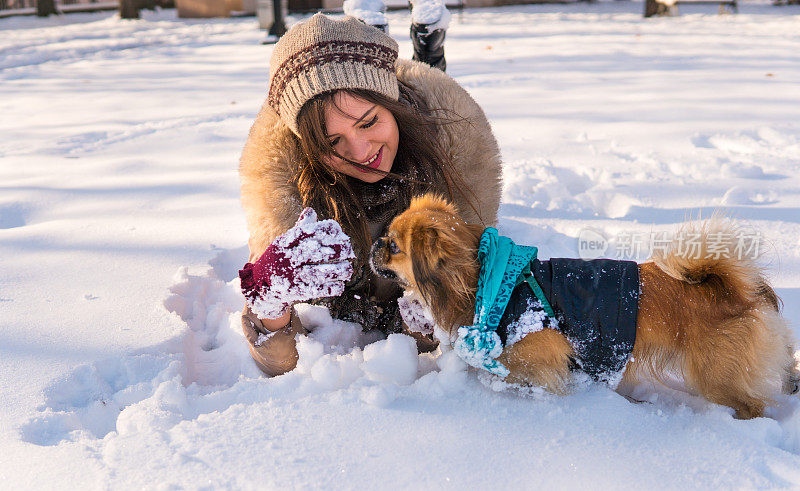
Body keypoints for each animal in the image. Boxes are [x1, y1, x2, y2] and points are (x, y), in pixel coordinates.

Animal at [372, 194, 796, 420]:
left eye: (394, 246)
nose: (375, 244)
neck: (484, 280)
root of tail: (737, 290)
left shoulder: (542, 358)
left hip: (714, 375)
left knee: (753, 405)